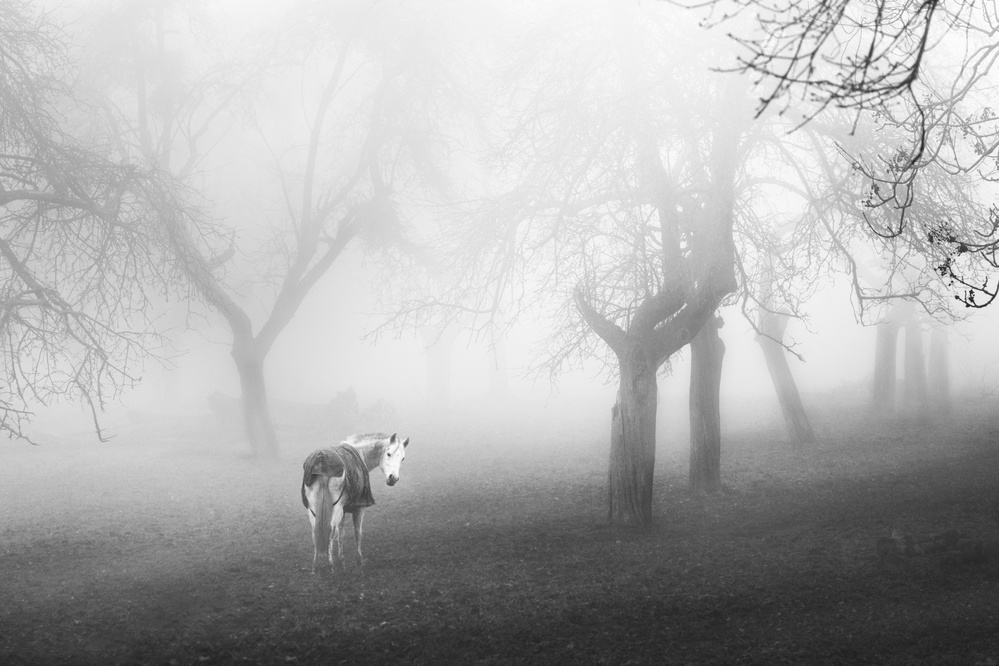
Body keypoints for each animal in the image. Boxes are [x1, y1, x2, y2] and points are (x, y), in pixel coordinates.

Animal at [300, 432, 409, 573]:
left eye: (402, 458)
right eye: (388, 453)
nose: (393, 478)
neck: (360, 454)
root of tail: (322, 463)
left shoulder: (343, 510)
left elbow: (341, 534)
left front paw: (342, 562)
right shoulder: (359, 508)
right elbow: (357, 533)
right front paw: (359, 562)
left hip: (313, 509)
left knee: (316, 534)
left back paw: (315, 567)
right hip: (335, 509)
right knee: (330, 532)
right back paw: (330, 566)